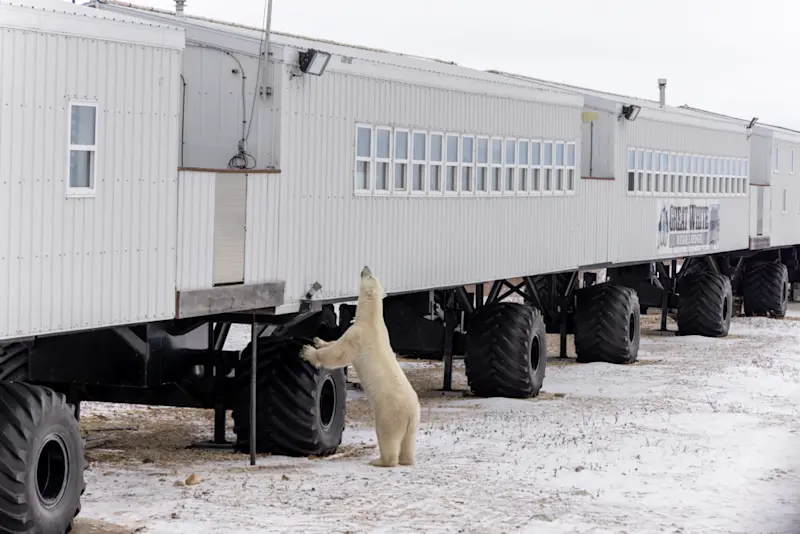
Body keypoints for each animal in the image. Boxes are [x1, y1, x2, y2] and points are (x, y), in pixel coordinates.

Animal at [299, 266, 421, 468]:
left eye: (369, 276)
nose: (365, 267)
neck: (372, 320)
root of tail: (411, 415)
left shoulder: (359, 336)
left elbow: (339, 353)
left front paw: (308, 351)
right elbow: (335, 343)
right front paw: (319, 340)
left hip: (389, 414)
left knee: (387, 437)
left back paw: (378, 460)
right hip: (413, 424)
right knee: (408, 443)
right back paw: (406, 459)